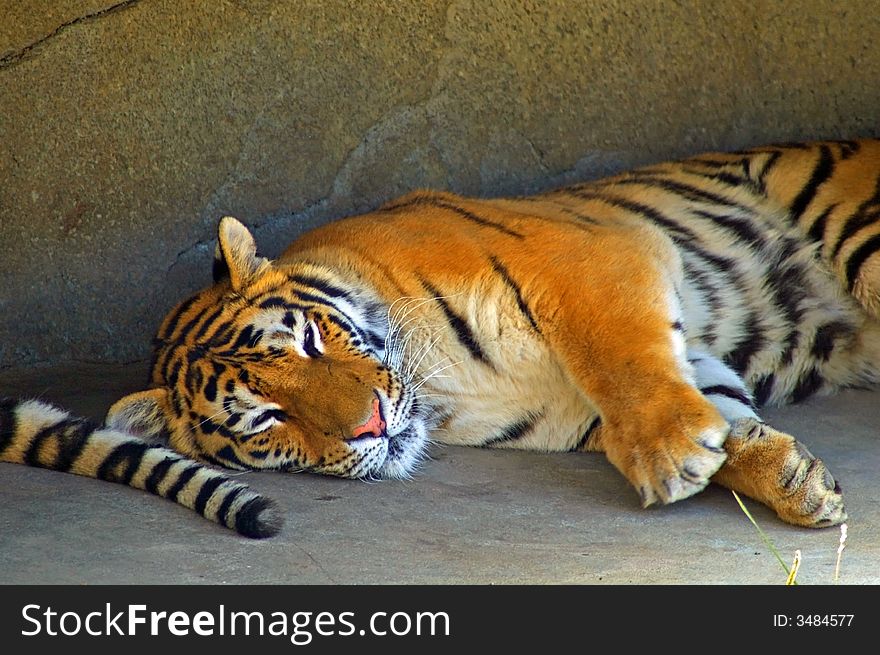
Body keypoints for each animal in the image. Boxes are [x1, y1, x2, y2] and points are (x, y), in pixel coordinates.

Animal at [1, 138, 880, 540]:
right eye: (267, 418)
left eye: (309, 341)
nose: (370, 426)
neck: (442, 387)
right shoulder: (587, 407)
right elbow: (719, 411)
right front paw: (796, 480)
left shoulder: (591, 253)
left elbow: (622, 353)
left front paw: (670, 454)